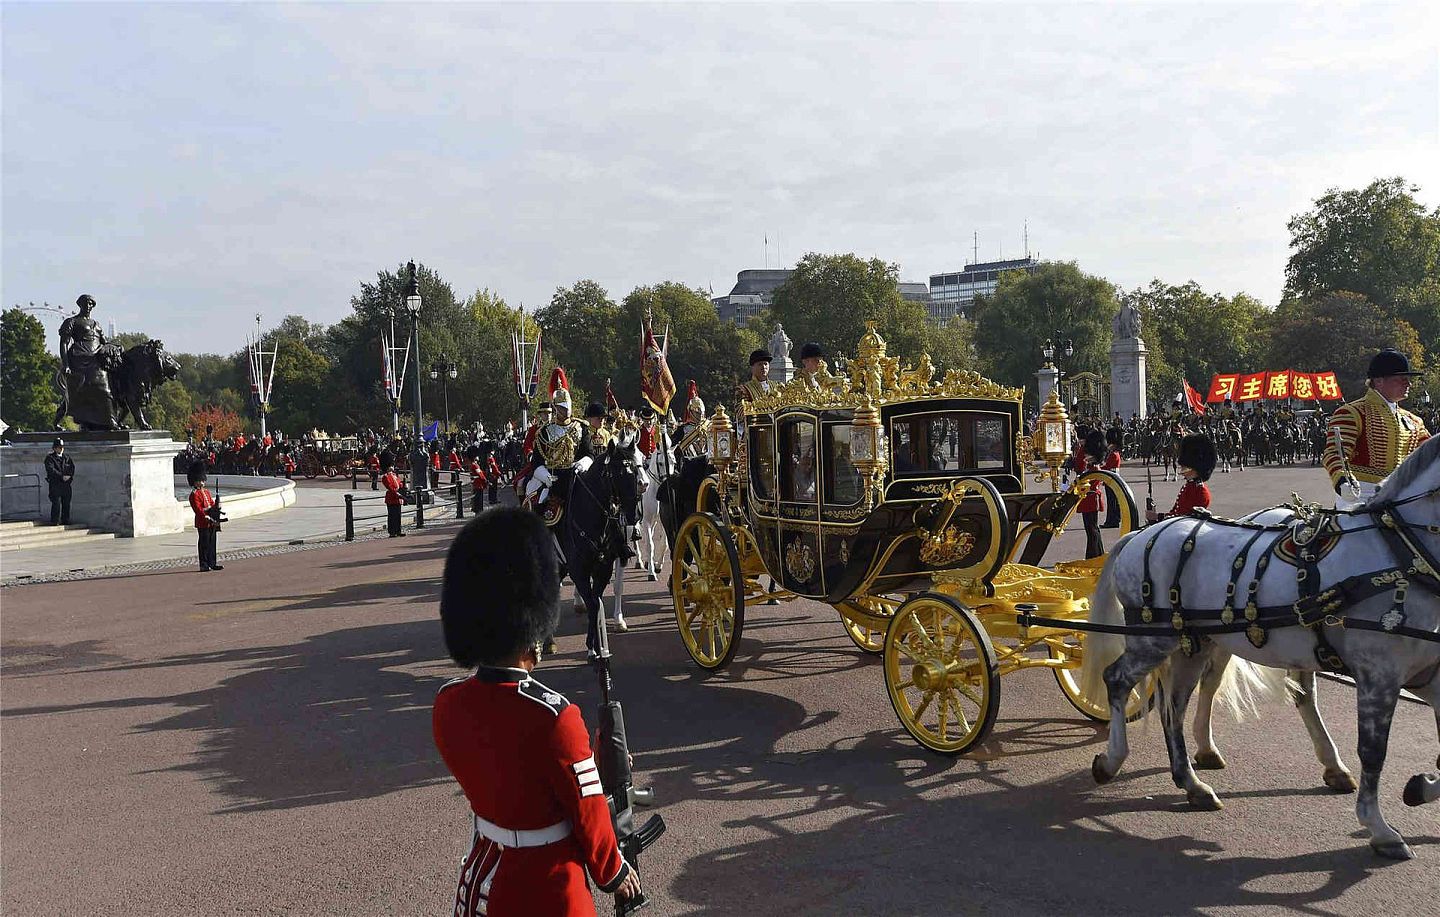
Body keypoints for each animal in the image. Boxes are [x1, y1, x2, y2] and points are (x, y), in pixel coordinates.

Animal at [1082, 428, 1440, 857]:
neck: (1401, 550)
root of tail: (1141, 534)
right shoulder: (1378, 675)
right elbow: (1373, 751)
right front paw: (1380, 828)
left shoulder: (1428, 675)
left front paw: (1419, 789)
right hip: (1154, 640)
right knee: (1118, 680)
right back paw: (1114, 761)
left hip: (1192, 643)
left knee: (1175, 706)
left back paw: (1193, 782)